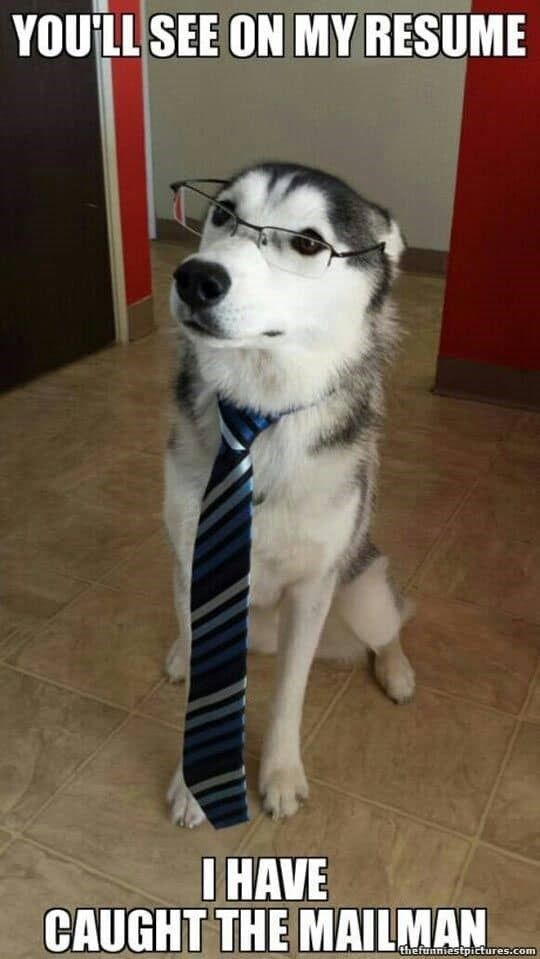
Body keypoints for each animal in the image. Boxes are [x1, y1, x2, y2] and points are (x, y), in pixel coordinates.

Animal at [163, 161, 414, 828]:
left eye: (306, 242)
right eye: (223, 212)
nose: (196, 278)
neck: (257, 419)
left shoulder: (311, 591)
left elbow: (288, 698)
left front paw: (278, 774)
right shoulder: (193, 567)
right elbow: (204, 684)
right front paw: (194, 785)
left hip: (362, 589)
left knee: (393, 622)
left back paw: (397, 669)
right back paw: (176, 652)